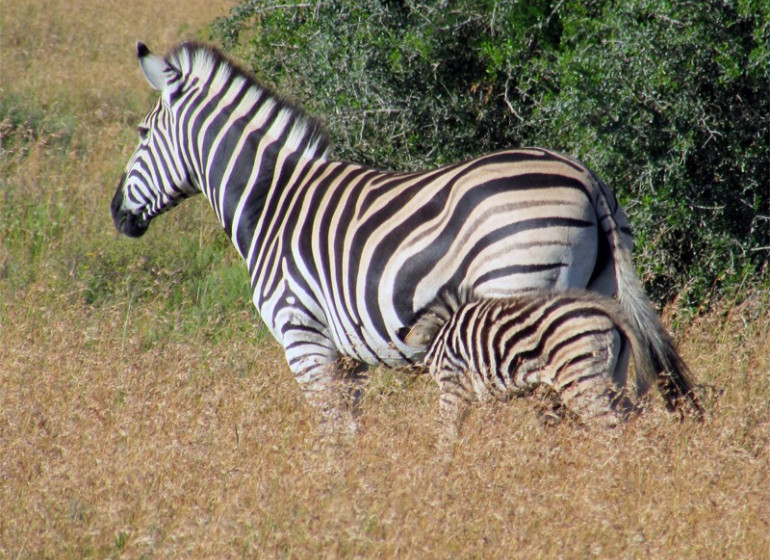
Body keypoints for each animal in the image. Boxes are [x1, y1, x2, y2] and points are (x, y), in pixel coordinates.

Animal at [400, 288, 656, 442]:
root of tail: (606, 310)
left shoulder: (453, 385)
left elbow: (447, 432)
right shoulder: (487, 394)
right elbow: (489, 428)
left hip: (580, 378)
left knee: (608, 425)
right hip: (613, 376)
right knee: (627, 416)